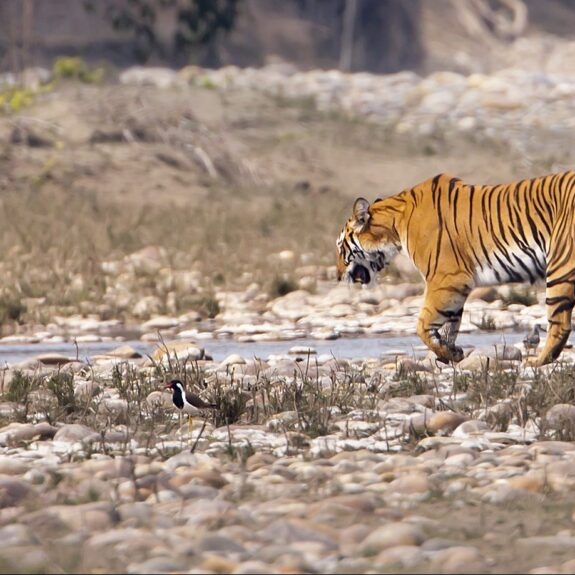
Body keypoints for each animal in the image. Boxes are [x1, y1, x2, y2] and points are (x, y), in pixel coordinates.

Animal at [336, 171, 575, 367]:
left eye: (340, 248)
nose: (338, 276)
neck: (395, 224)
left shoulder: (446, 278)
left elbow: (422, 324)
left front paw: (449, 354)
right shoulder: (453, 285)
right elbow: (449, 326)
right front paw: (448, 353)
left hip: (559, 267)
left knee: (560, 323)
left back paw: (538, 361)